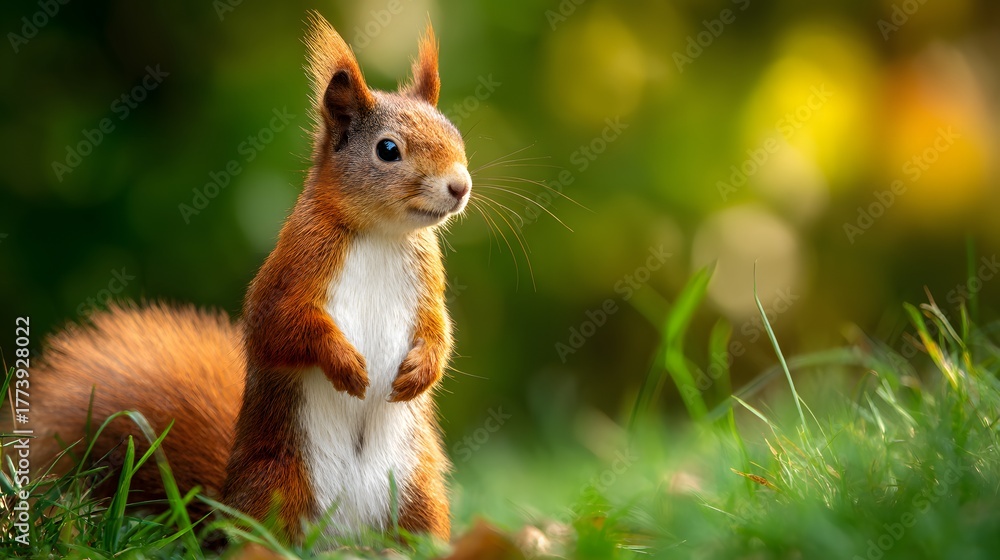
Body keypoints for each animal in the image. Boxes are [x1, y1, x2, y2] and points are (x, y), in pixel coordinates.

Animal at [16, 12, 468, 542]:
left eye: (456, 135)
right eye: (388, 149)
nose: (460, 186)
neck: (381, 234)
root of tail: (342, 540)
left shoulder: (427, 282)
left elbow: (438, 328)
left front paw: (423, 370)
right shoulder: (293, 269)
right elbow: (280, 327)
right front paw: (346, 366)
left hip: (419, 495)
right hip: (277, 484)